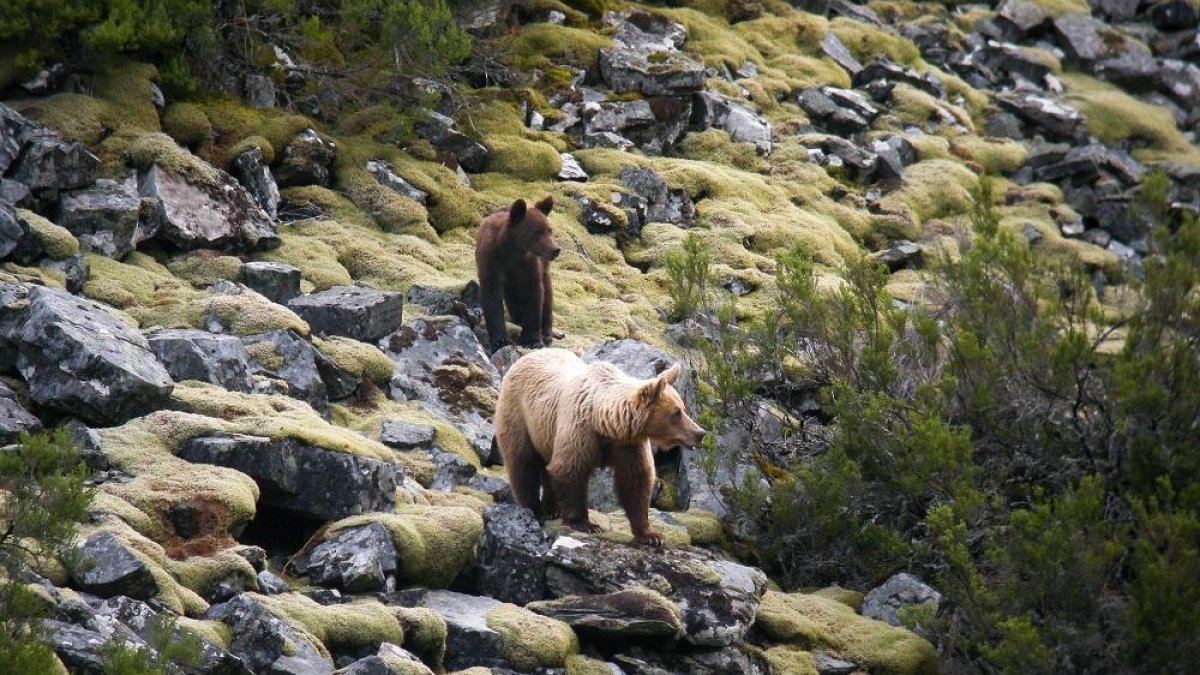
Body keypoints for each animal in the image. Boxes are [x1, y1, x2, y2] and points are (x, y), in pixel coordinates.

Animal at [475, 196, 561, 353]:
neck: (513, 250)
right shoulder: (491, 261)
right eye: (537, 231)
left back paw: (546, 333)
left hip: (543, 266)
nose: (556, 249)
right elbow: (492, 296)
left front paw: (533, 340)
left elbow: (534, 295)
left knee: (547, 293)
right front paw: (500, 340)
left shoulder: (528, 266)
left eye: (549, 230)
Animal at [494, 347, 707, 546]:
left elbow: (636, 480)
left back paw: (552, 509)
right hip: (519, 415)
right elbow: (569, 469)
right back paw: (533, 510)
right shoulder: (581, 430)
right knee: (523, 463)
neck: (605, 424)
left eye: (683, 409)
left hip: (547, 434)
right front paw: (585, 523)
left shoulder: (628, 445)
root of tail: (528, 355)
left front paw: (651, 535)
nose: (700, 433)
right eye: (676, 413)